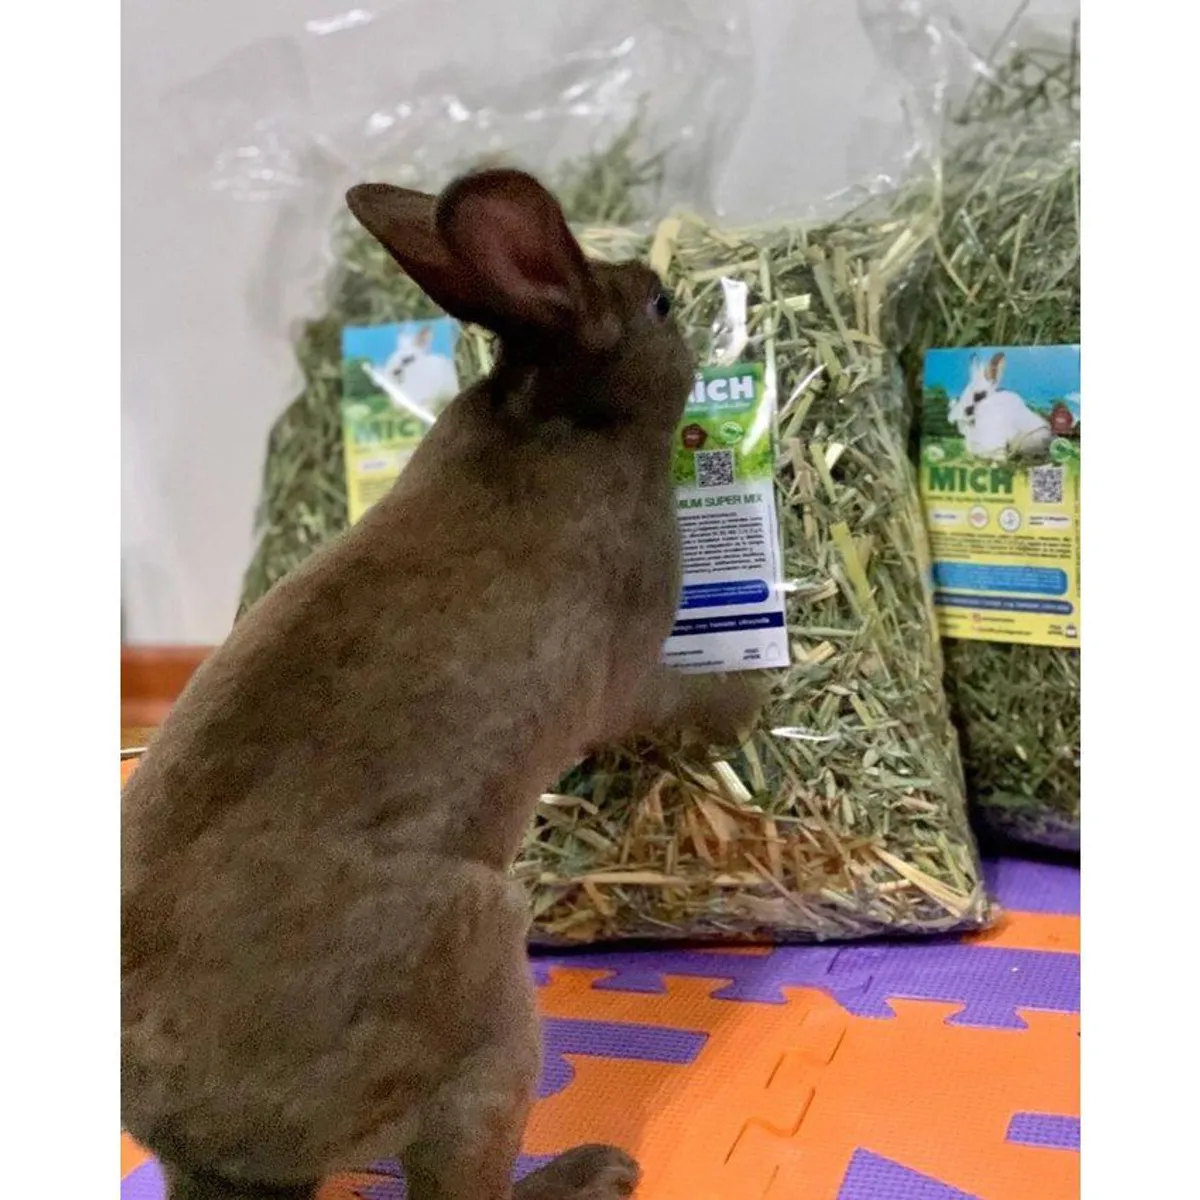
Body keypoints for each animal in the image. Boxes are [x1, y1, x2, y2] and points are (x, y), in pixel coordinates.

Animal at [121, 167, 768, 1200]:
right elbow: (671, 703)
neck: (560, 415)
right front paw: (751, 704)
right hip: (481, 985)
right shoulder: (627, 669)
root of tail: (197, 1133)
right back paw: (594, 1170)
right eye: (659, 306)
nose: (687, 311)